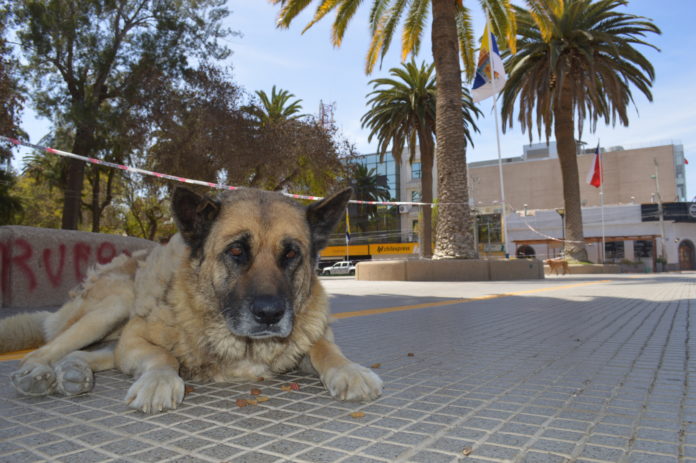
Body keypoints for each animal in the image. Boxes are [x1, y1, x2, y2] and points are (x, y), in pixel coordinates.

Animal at [0, 188, 380, 414]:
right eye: (236, 251)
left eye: (290, 254)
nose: (270, 315)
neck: (244, 345)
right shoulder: (135, 338)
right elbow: (163, 356)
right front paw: (160, 380)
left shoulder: (311, 334)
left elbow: (323, 347)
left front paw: (348, 369)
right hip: (116, 304)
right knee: (44, 352)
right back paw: (38, 375)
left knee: (89, 355)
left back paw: (75, 373)